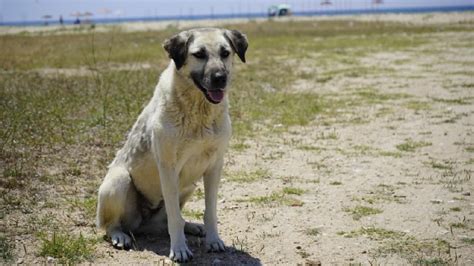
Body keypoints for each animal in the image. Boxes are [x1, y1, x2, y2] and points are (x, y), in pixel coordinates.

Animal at [95, 28, 248, 262]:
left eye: (225, 53)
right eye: (199, 54)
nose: (221, 79)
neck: (199, 111)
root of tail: (142, 225)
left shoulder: (214, 166)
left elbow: (209, 211)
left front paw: (213, 239)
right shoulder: (168, 169)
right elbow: (175, 217)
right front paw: (179, 249)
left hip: (189, 185)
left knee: (164, 222)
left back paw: (192, 226)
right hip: (118, 181)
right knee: (112, 224)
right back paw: (120, 236)